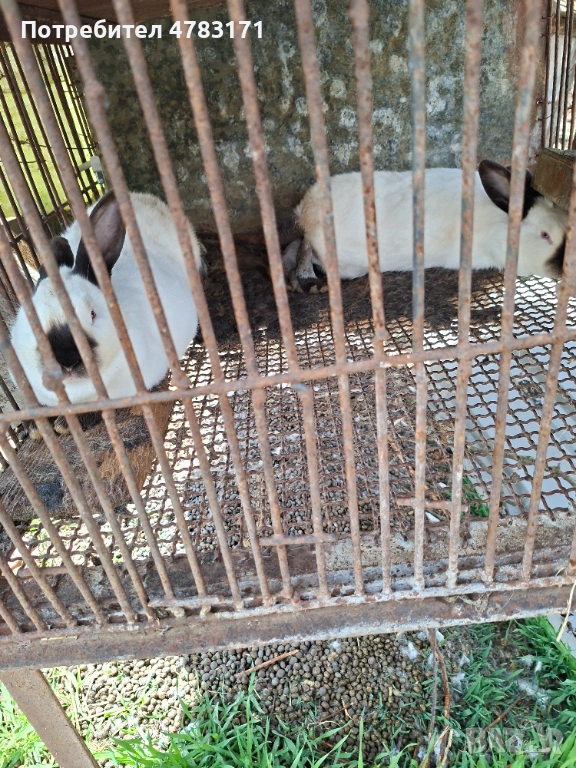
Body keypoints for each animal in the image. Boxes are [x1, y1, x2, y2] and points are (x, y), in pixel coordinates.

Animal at [10, 191, 203, 437]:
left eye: (92, 314)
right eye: (31, 317)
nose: (66, 359)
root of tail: (144, 197)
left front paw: (65, 425)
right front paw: (34, 426)